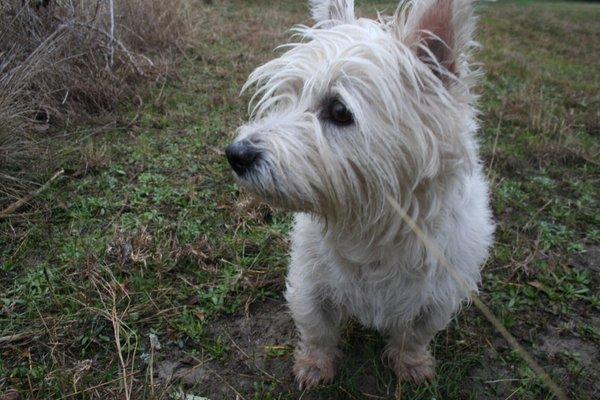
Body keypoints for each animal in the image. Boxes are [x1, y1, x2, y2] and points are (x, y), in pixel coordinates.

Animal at [225, 0, 492, 388]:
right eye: (288, 96)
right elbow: (317, 329)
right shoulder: (309, 284)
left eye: (339, 110)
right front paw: (314, 366)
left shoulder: (439, 296)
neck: (373, 226)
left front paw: (411, 364)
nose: (236, 154)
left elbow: (416, 334)